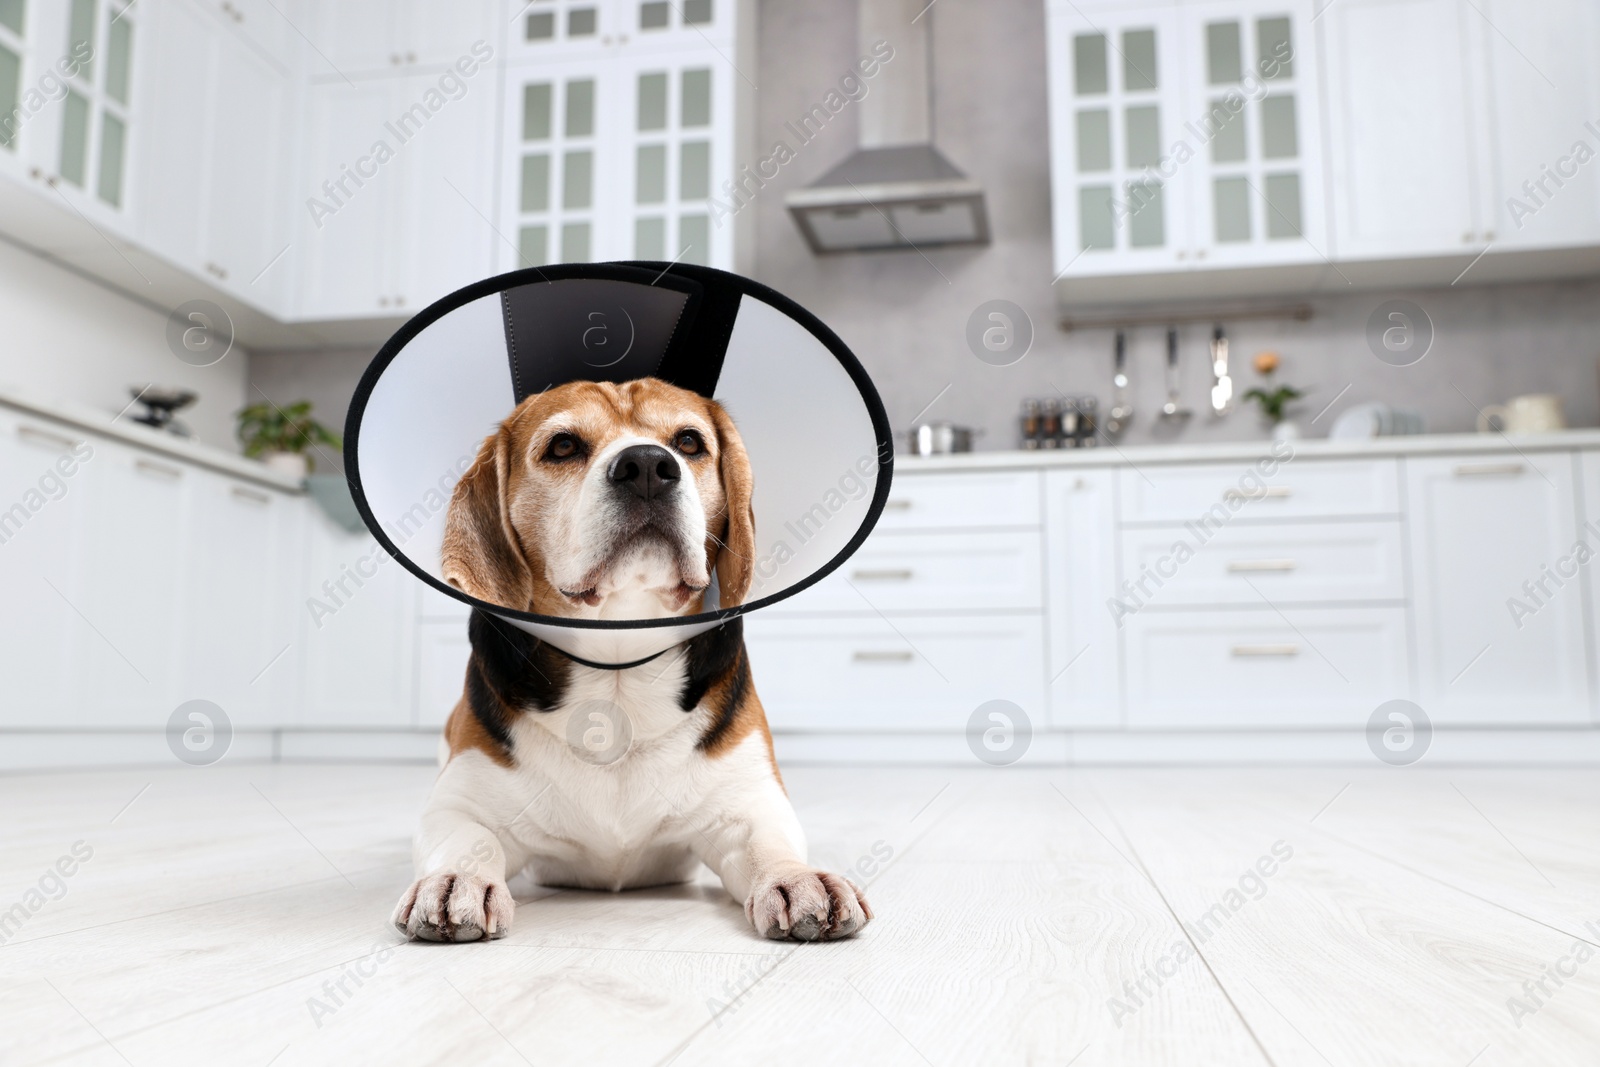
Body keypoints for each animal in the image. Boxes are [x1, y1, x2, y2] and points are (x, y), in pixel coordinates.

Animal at [393, 377, 876, 940]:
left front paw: (798, 879)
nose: (647, 465)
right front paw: (454, 882)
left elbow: (768, 843)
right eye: (563, 446)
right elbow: (470, 840)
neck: (618, 672)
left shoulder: (751, 802)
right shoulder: (458, 804)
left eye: (688, 441)